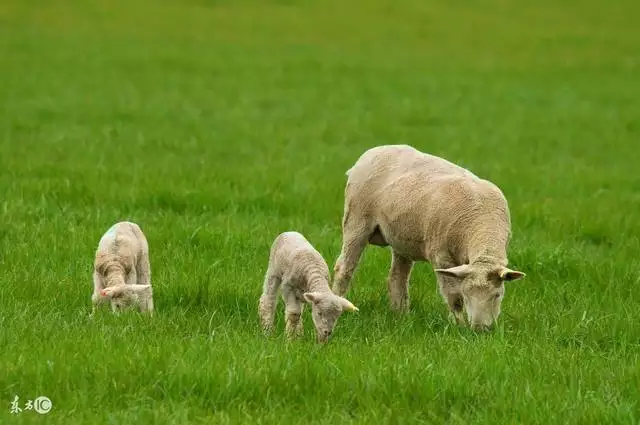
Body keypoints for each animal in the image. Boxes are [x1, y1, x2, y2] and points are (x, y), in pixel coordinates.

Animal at [330, 144, 524, 330]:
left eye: (497, 295)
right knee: (344, 268)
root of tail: (372, 151)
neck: (481, 225)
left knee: (396, 278)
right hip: (356, 220)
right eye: (467, 294)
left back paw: (401, 316)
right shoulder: (442, 257)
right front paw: (459, 326)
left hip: (401, 238)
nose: (480, 329)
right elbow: (454, 297)